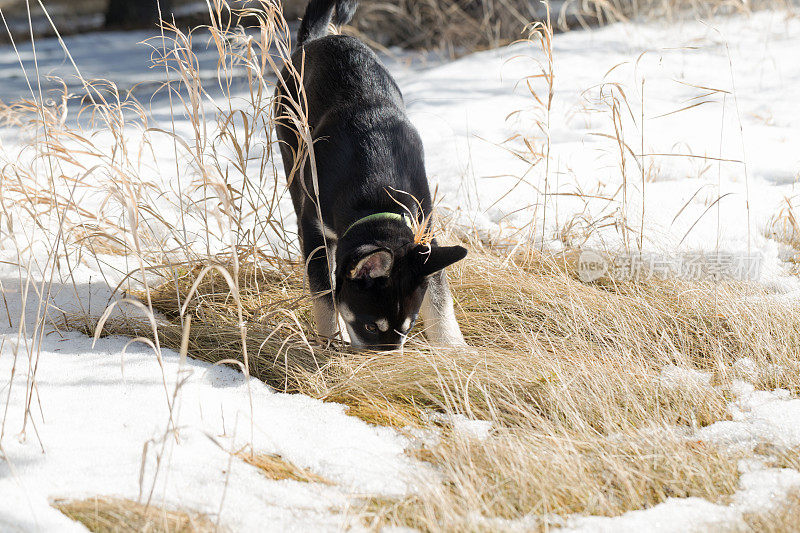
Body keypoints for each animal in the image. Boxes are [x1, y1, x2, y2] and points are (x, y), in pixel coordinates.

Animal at [274, 0, 466, 350]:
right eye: (371, 326)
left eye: (409, 326)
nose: (385, 357)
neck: (377, 194)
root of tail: (316, 40)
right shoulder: (315, 230)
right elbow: (325, 298)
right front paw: (329, 341)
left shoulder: (425, 232)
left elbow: (440, 300)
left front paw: (453, 346)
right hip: (291, 159)